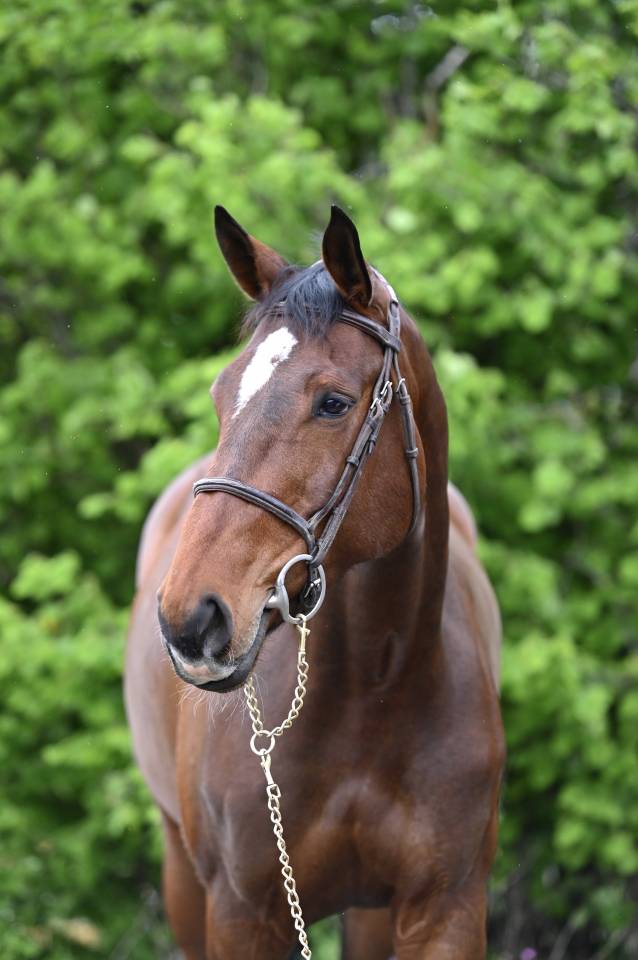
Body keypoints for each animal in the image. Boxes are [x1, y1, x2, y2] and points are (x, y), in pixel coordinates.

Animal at [125, 204, 505, 960]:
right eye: (221, 395)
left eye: (332, 402)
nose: (191, 619)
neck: (373, 693)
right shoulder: (242, 915)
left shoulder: (445, 909)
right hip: (183, 877)